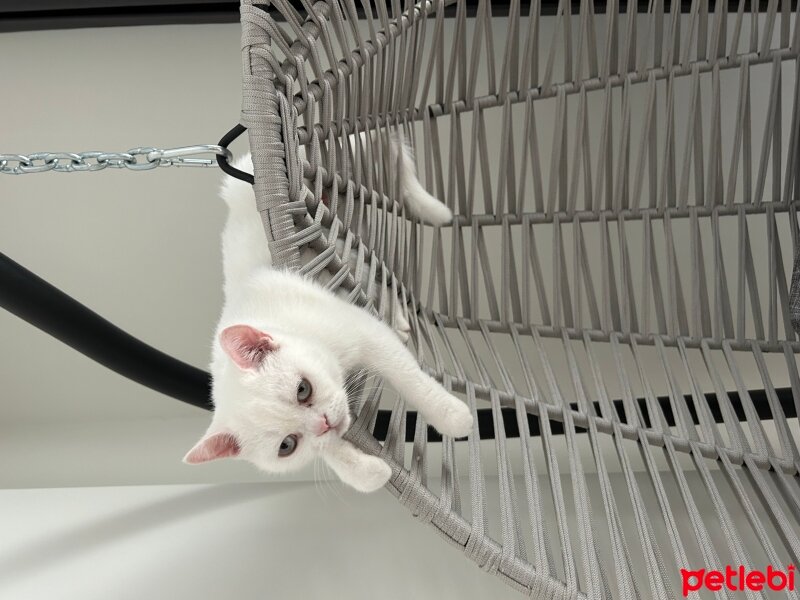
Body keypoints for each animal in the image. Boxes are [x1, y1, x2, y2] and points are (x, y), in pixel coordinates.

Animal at [184, 132, 472, 492]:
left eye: (302, 389)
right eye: (287, 445)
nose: (323, 423)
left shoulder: (366, 333)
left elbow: (409, 378)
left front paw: (453, 417)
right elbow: (335, 454)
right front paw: (369, 471)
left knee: (387, 146)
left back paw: (430, 208)